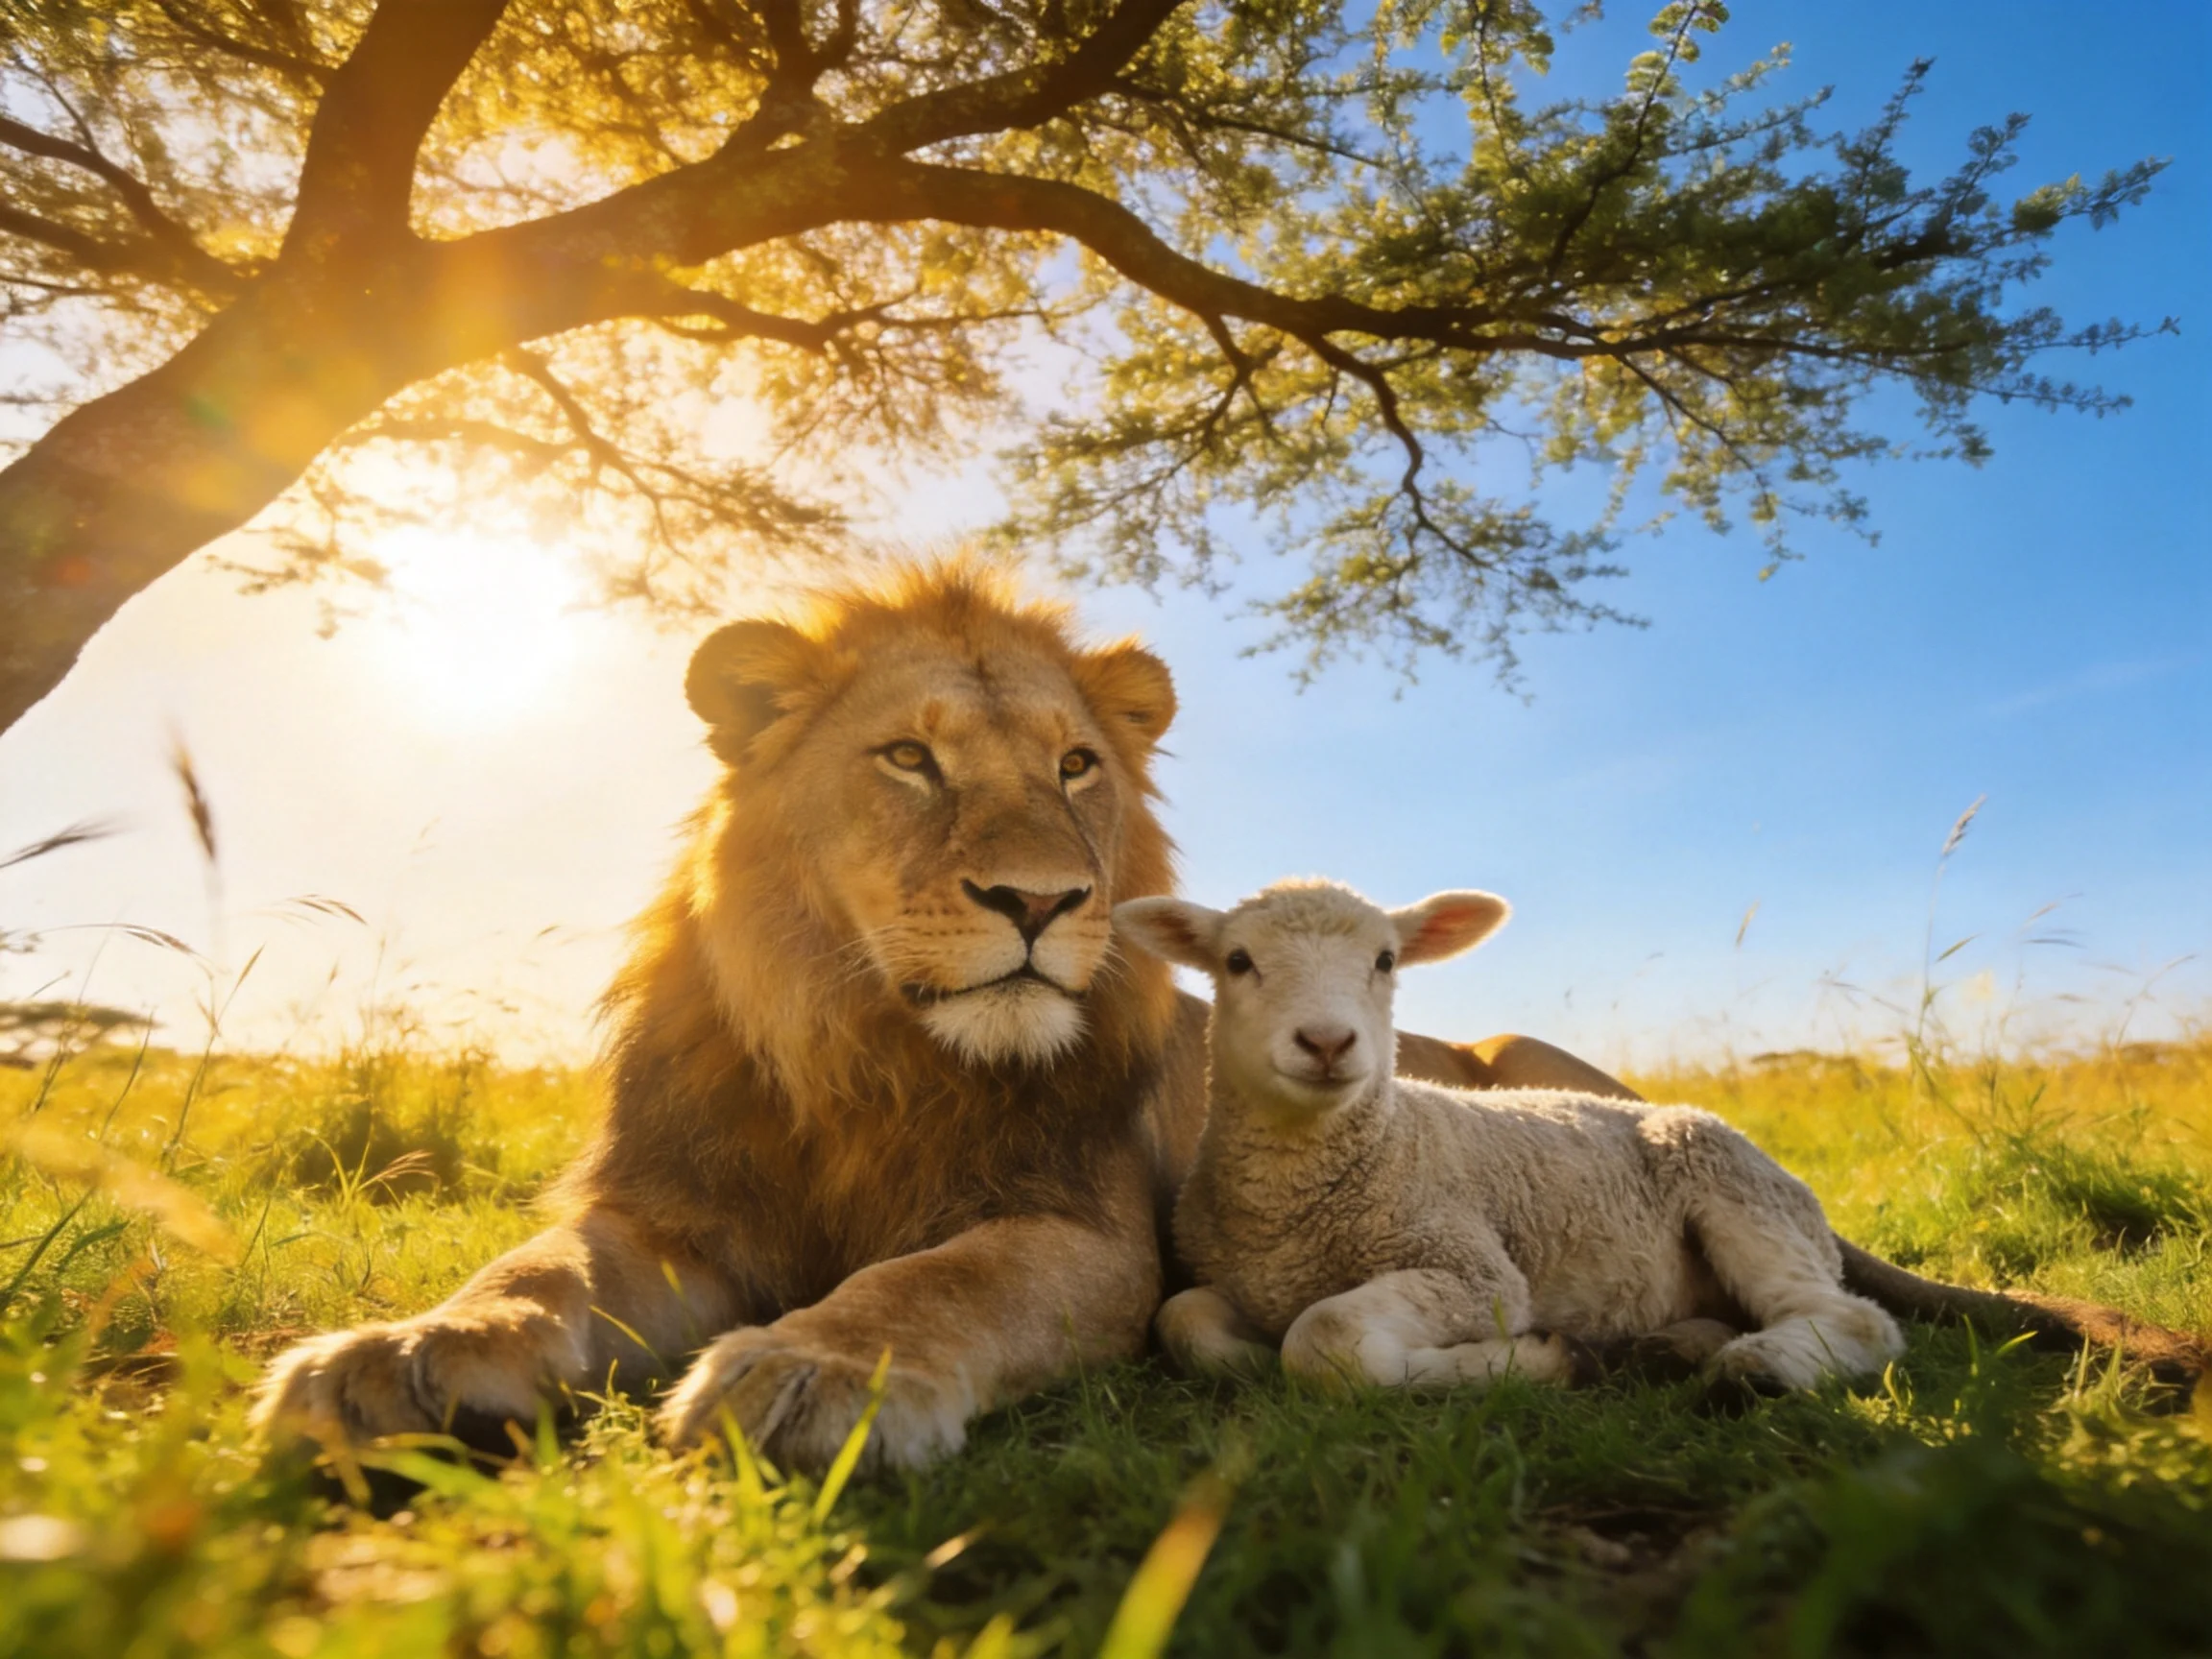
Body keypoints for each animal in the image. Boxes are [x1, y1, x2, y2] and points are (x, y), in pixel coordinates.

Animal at [1112, 880, 1905, 1395]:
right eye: (1238, 962)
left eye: (1386, 961)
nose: (1327, 1042)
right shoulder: (1230, 1279)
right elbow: (1182, 1321)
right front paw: (1248, 1355)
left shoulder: (1471, 1270)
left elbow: (1323, 1339)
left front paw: (1542, 1359)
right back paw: (1673, 1348)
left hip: (1733, 1188)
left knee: (1858, 1321)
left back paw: (1756, 1369)